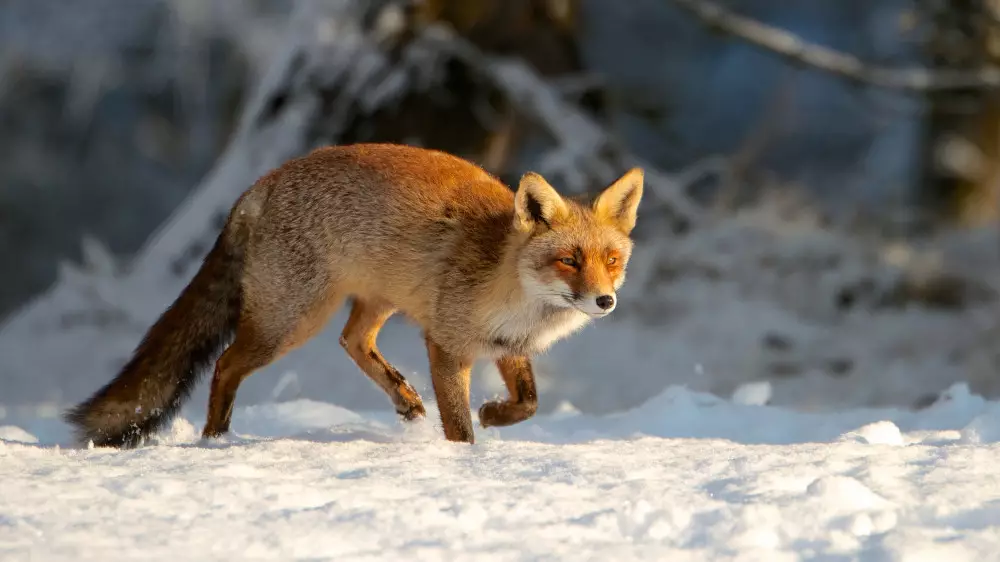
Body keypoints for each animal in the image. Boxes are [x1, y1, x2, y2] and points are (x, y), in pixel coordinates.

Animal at [66, 142, 644, 444]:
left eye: (611, 261)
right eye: (569, 261)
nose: (605, 301)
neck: (512, 294)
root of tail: (262, 182)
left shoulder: (507, 347)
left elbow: (529, 402)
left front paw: (495, 416)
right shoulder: (446, 344)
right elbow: (459, 423)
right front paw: (467, 458)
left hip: (376, 299)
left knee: (353, 341)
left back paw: (404, 399)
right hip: (290, 321)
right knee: (227, 363)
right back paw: (217, 437)